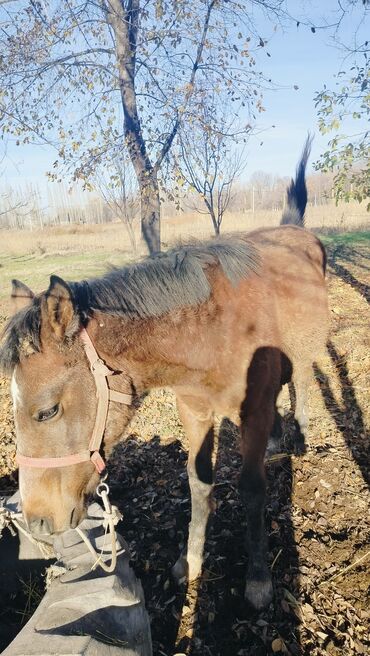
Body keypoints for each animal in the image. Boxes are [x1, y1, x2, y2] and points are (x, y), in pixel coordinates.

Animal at [1, 138, 328, 608]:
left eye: (47, 411)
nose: (39, 522)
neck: (213, 329)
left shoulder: (252, 413)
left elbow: (252, 489)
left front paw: (258, 579)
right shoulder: (194, 412)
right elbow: (198, 484)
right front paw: (189, 562)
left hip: (307, 351)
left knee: (301, 378)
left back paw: (297, 435)